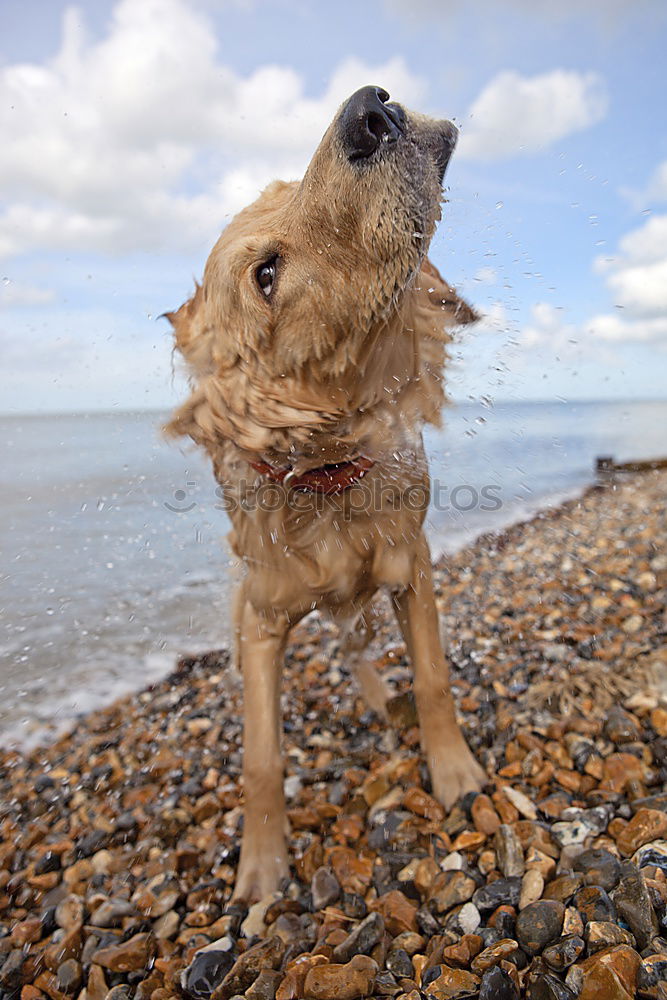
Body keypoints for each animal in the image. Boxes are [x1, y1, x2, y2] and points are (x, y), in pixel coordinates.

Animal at [167, 86, 486, 900]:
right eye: (265, 274)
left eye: (289, 186)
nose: (371, 110)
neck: (328, 478)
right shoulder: (261, 618)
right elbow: (260, 757)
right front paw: (260, 867)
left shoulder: (411, 568)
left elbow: (434, 679)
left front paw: (454, 770)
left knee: (357, 647)